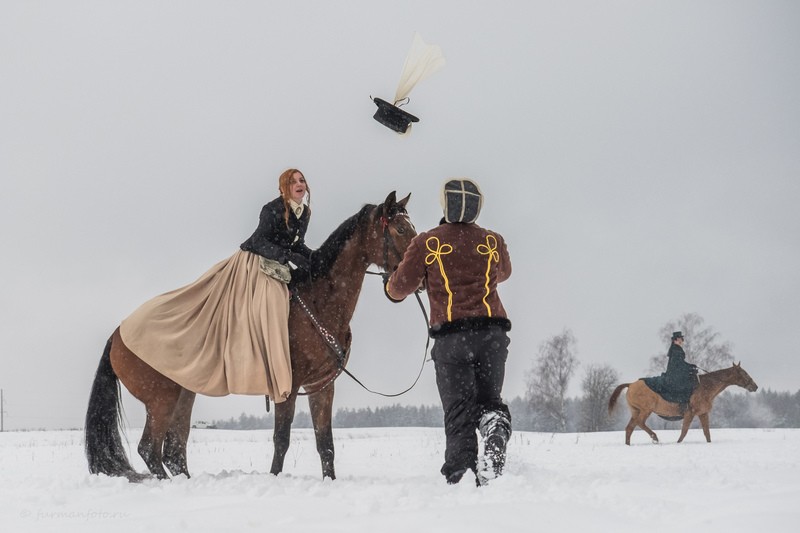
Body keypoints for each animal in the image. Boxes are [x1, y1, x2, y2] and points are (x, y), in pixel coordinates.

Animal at [608, 362, 760, 444]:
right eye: (744, 373)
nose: (755, 386)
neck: (705, 386)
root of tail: (630, 384)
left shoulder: (703, 414)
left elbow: (707, 433)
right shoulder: (690, 413)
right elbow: (684, 431)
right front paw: (678, 443)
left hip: (636, 411)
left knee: (629, 428)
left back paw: (629, 445)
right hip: (645, 411)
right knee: (639, 423)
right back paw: (654, 437)